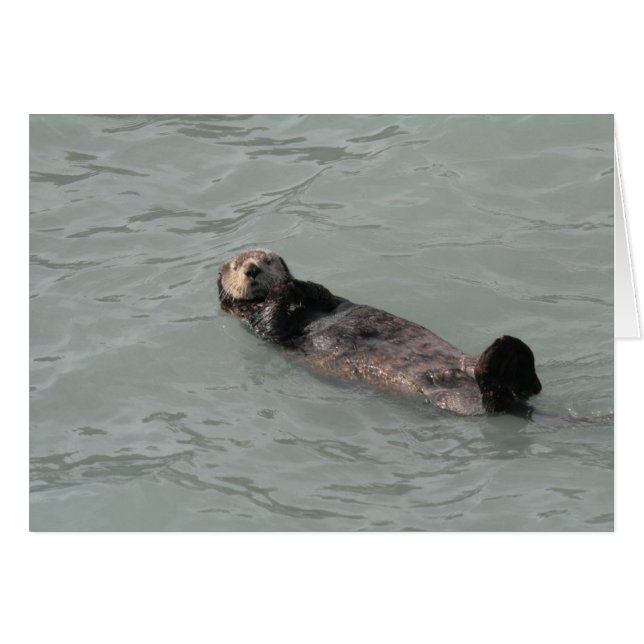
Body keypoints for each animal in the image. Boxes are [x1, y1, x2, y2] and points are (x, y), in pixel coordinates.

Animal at [217, 248, 542, 416]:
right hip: (447, 400)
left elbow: (324, 294)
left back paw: (510, 355)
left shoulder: (330, 300)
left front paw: (296, 283)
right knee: (495, 400)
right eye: (234, 266)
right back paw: (505, 357)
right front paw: (284, 288)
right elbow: (273, 321)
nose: (252, 269)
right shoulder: (257, 325)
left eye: (268, 260)